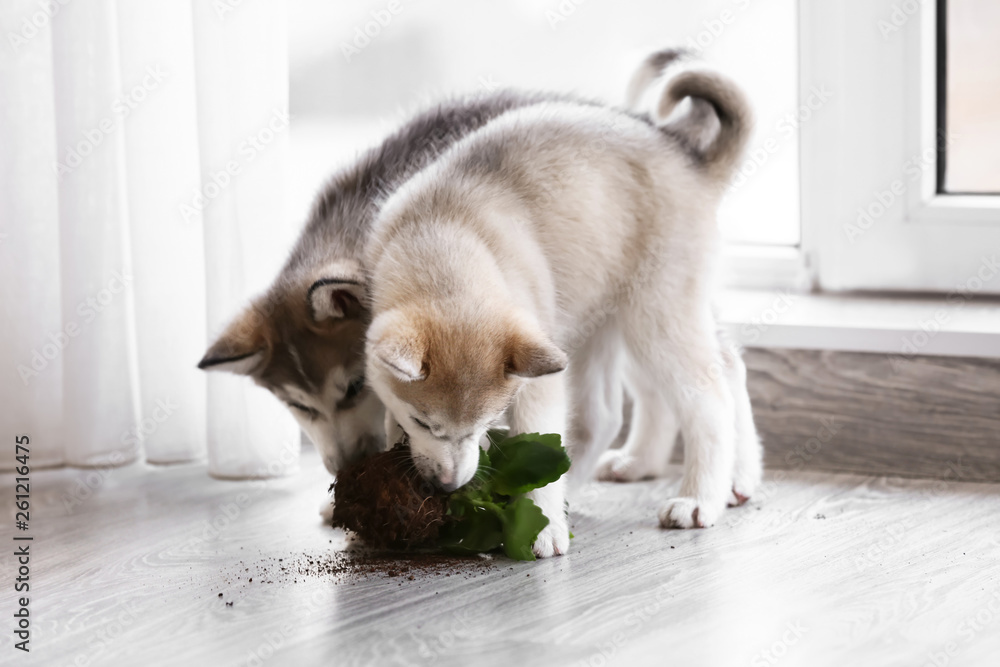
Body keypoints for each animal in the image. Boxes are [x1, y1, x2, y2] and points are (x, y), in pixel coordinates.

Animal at [364, 53, 760, 560]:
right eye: (422, 421)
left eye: (487, 422)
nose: (449, 487)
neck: (445, 232)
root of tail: (689, 160)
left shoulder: (537, 377)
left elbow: (542, 438)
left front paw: (543, 524)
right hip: (625, 317)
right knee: (712, 372)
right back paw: (704, 472)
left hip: (654, 317)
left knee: (707, 401)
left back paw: (700, 498)